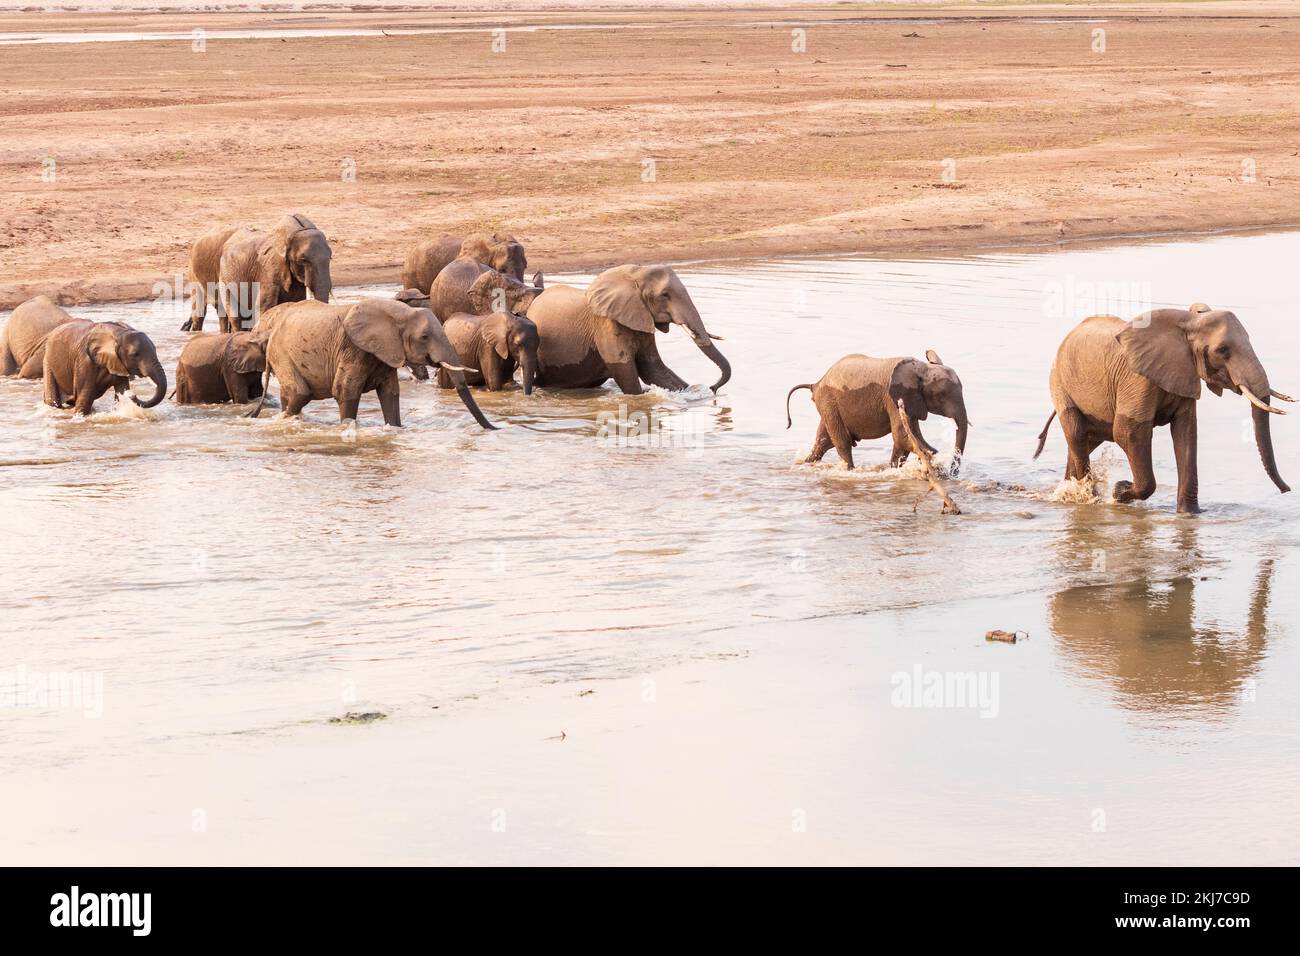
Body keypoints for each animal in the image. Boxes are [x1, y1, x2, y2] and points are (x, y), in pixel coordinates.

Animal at [249, 295, 496, 429]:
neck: (397, 312)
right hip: (281, 354)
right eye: (425, 337)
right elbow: (344, 391)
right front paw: (348, 429)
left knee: (290, 396)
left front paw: (395, 429)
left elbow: (390, 393)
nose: (496, 428)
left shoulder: (384, 353)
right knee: (300, 393)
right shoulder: (354, 349)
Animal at [525, 264, 733, 395]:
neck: (635, 275)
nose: (713, 388)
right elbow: (626, 373)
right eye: (665, 295)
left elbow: (653, 368)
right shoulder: (606, 324)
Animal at [780, 351, 967, 470]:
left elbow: (905, 438)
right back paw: (850, 470)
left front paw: (895, 469)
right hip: (828, 402)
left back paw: (807, 463)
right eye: (942, 396)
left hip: (828, 405)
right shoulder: (893, 399)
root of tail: (816, 383)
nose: (951, 472)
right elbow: (902, 436)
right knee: (842, 443)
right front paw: (933, 458)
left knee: (823, 441)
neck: (921, 368)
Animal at [1034, 304, 1289, 515]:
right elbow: (1128, 431)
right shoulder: (1137, 379)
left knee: (1085, 441)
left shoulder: (1184, 373)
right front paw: (1119, 491)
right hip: (1059, 381)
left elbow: (1186, 433)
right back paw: (1089, 498)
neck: (1188, 322)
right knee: (1077, 433)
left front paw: (1190, 514)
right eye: (1223, 350)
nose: (1287, 490)